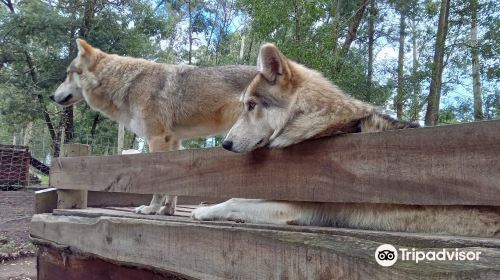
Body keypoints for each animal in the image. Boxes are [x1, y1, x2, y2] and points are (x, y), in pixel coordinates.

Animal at [51, 38, 258, 214]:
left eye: (68, 74)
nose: (51, 96)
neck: (127, 83)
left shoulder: (157, 138)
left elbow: (158, 182)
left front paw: (151, 209)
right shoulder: (174, 141)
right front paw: (167, 210)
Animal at [191, 43, 500, 236]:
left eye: (251, 106)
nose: (225, 144)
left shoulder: (295, 207)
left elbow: (235, 201)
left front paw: (203, 212)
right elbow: (239, 196)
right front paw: (205, 207)